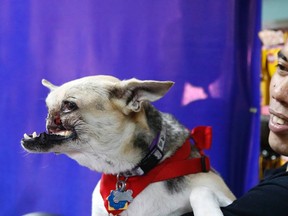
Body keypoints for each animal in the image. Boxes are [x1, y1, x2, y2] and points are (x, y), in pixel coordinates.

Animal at [21, 75, 235, 215]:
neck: (131, 173)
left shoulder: (225, 195)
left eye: (69, 105)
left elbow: (200, 192)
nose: (48, 114)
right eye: (48, 104)